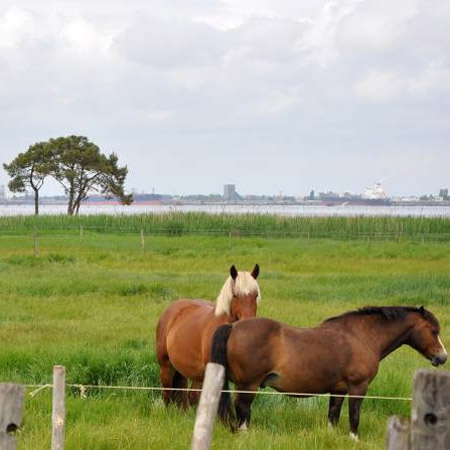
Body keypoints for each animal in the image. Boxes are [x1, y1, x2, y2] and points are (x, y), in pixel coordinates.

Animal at [156, 264, 260, 408]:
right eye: (235, 296)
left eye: (256, 295)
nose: (248, 322)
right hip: (167, 367)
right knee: (168, 393)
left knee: (186, 394)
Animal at [211, 306, 446, 440]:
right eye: (434, 331)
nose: (442, 357)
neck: (362, 336)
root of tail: (233, 327)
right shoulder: (358, 387)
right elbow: (354, 415)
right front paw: (354, 440)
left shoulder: (338, 390)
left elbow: (333, 415)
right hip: (248, 385)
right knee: (243, 410)